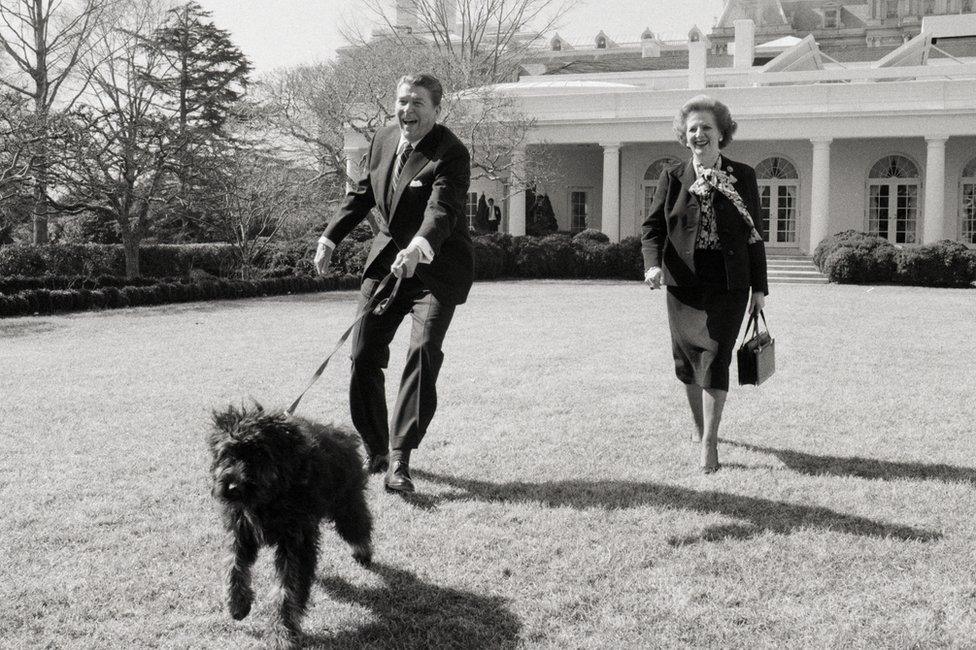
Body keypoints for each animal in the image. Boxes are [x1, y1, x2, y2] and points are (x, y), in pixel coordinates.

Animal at [207, 404, 374, 644]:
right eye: (227, 453)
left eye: (260, 453)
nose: (232, 487)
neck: (269, 498)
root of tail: (342, 433)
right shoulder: (241, 531)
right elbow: (233, 564)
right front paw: (237, 604)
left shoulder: (296, 542)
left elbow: (288, 589)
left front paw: (282, 632)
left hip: (346, 504)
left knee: (358, 525)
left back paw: (363, 551)